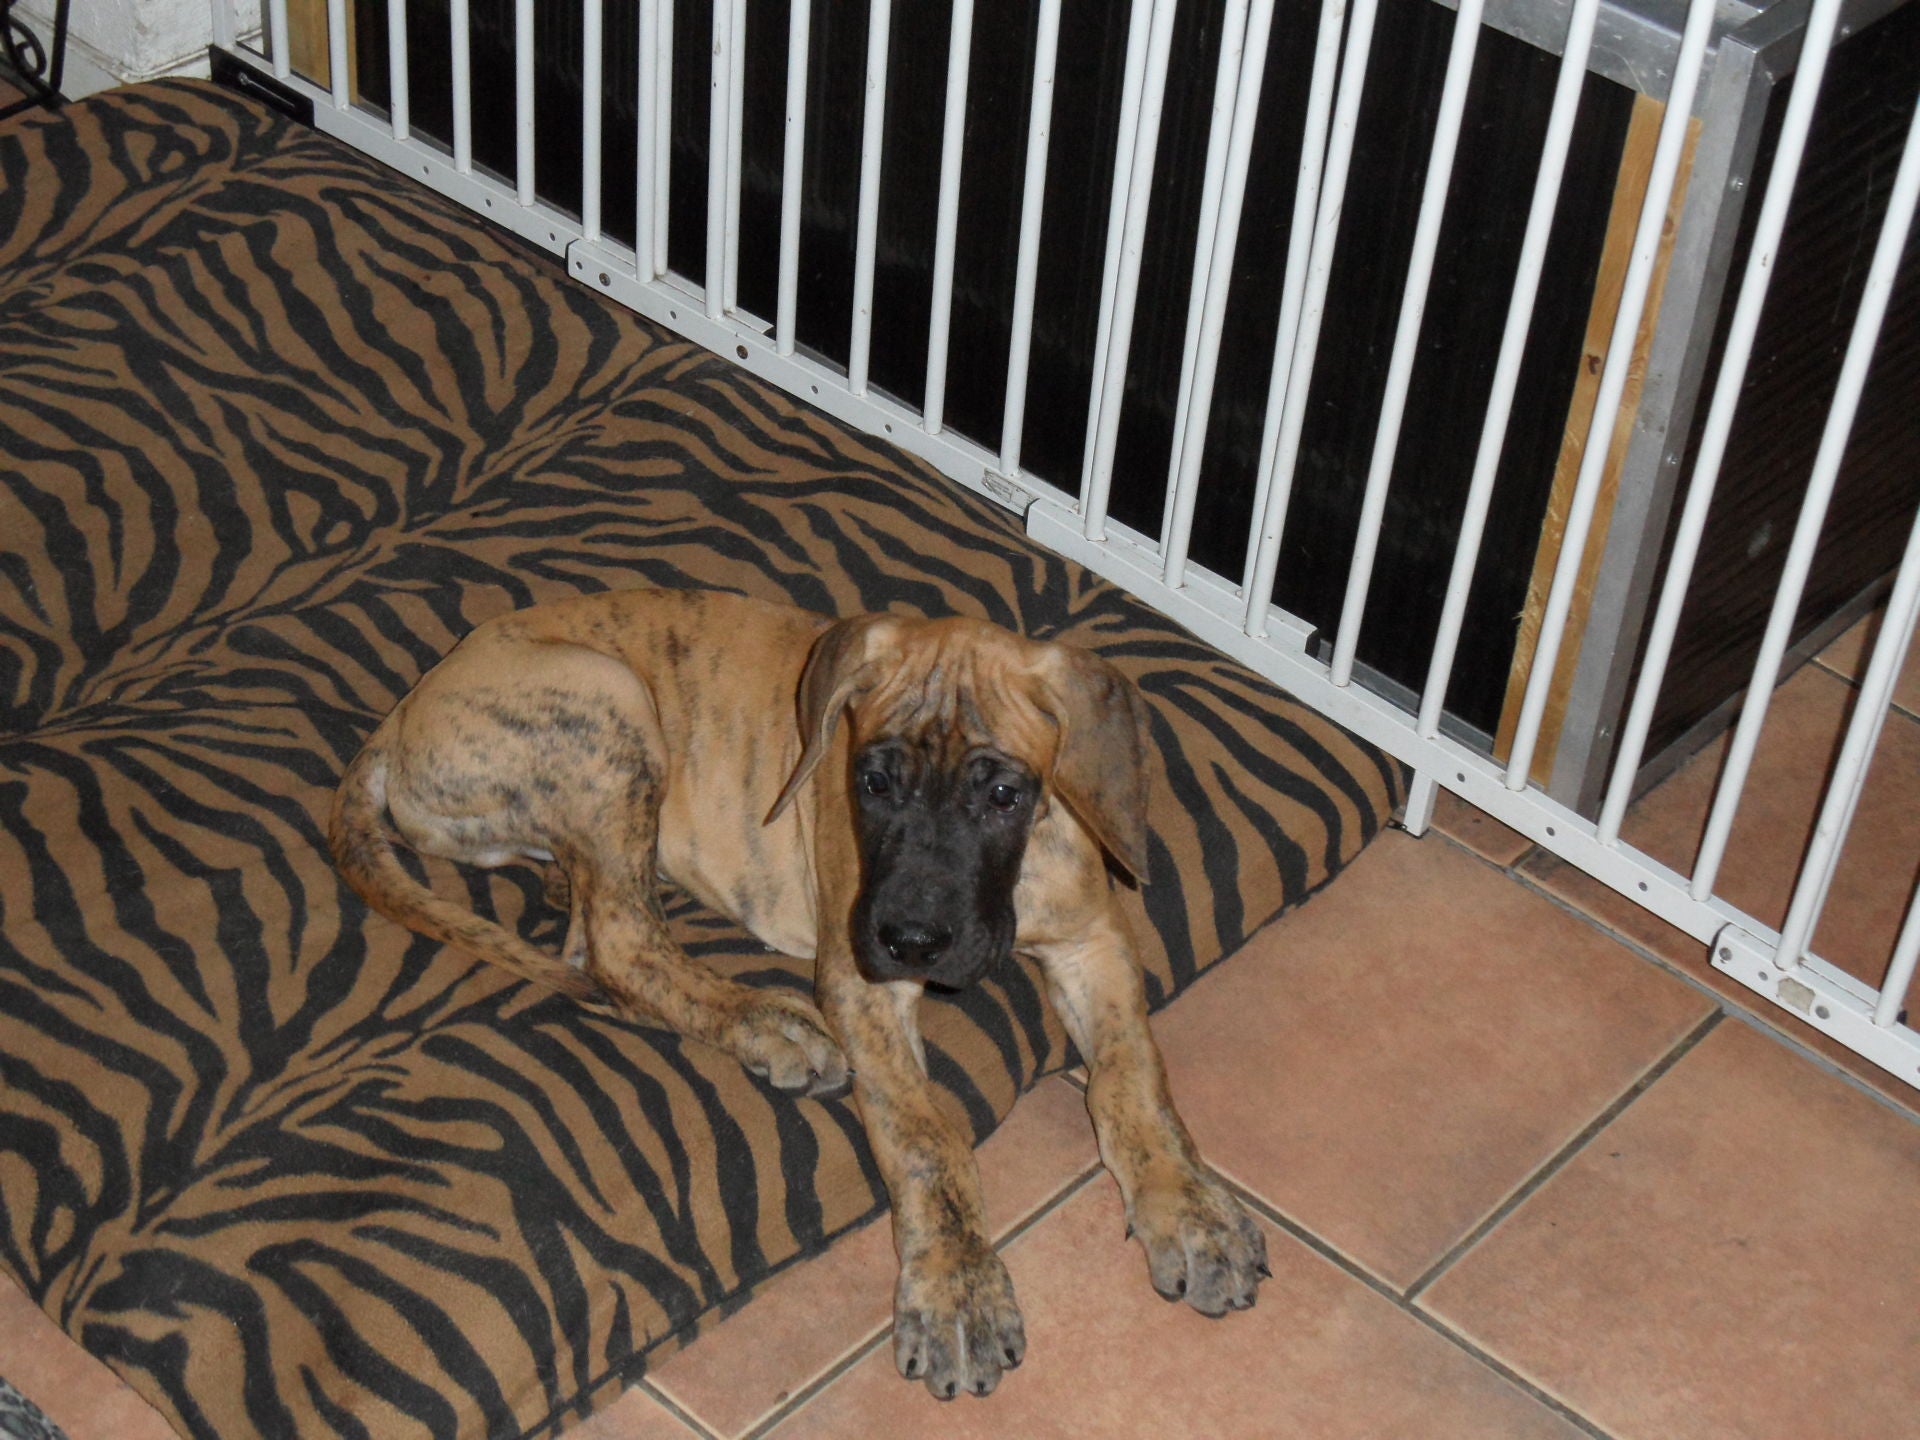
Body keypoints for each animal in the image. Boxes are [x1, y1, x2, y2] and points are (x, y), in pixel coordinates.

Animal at [328, 587, 1268, 1397]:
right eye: (872, 781)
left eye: (1004, 793)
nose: (910, 939)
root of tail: (408, 710)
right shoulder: (860, 984)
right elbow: (927, 1139)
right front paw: (957, 1290)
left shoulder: (1095, 942)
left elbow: (1131, 1079)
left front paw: (1190, 1211)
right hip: (611, 705)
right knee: (625, 944)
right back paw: (769, 1023)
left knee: (594, 926)